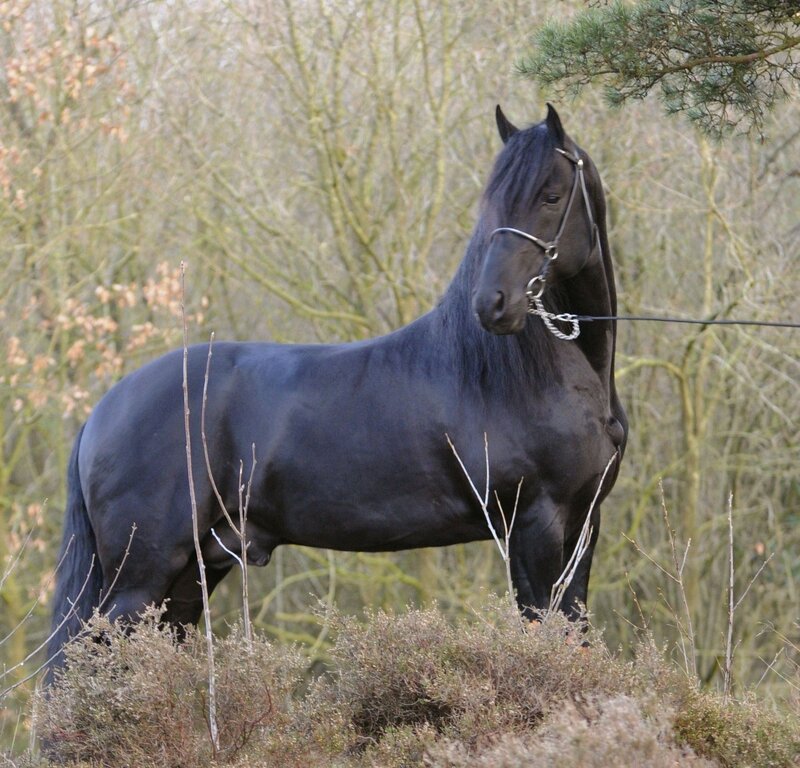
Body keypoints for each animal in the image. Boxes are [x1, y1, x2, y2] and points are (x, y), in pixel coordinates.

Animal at [47, 105, 627, 676]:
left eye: (551, 196)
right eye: (493, 201)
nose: (493, 304)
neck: (522, 374)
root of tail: (102, 411)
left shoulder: (583, 525)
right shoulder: (533, 525)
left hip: (190, 574)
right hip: (141, 577)